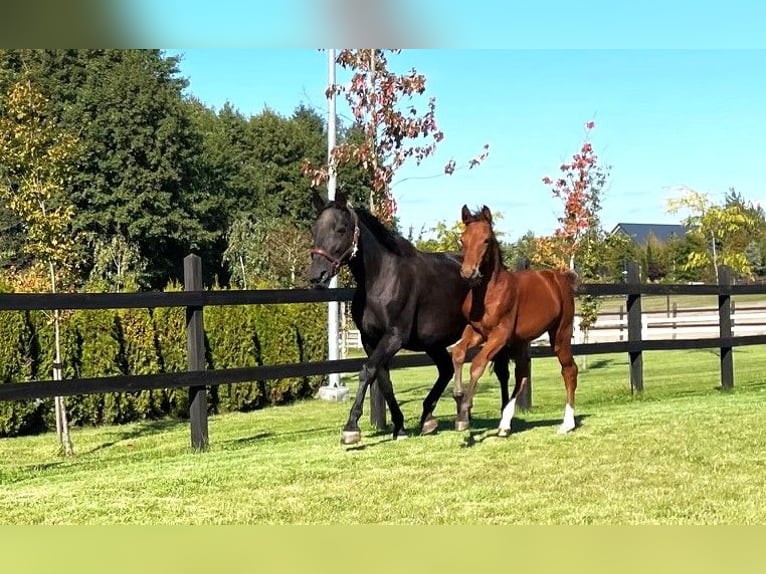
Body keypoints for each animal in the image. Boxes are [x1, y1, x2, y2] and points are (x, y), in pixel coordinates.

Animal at [308, 191, 512, 445]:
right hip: (434, 342)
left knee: (501, 372)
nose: (317, 275)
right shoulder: (370, 340)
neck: (382, 277)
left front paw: (351, 428)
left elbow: (367, 371)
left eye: (341, 229)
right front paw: (400, 427)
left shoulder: (394, 337)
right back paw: (429, 419)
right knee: (446, 369)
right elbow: (383, 381)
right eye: (314, 229)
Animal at [451, 204, 580, 437]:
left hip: (560, 334)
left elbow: (477, 364)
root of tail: (561, 278)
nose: (468, 272)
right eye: (462, 239)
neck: (489, 293)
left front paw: (464, 415)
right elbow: (458, 352)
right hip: (521, 341)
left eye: (486, 240)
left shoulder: (500, 334)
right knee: (522, 376)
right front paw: (457, 394)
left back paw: (567, 424)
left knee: (569, 370)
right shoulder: (477, 331)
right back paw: (504, 425)